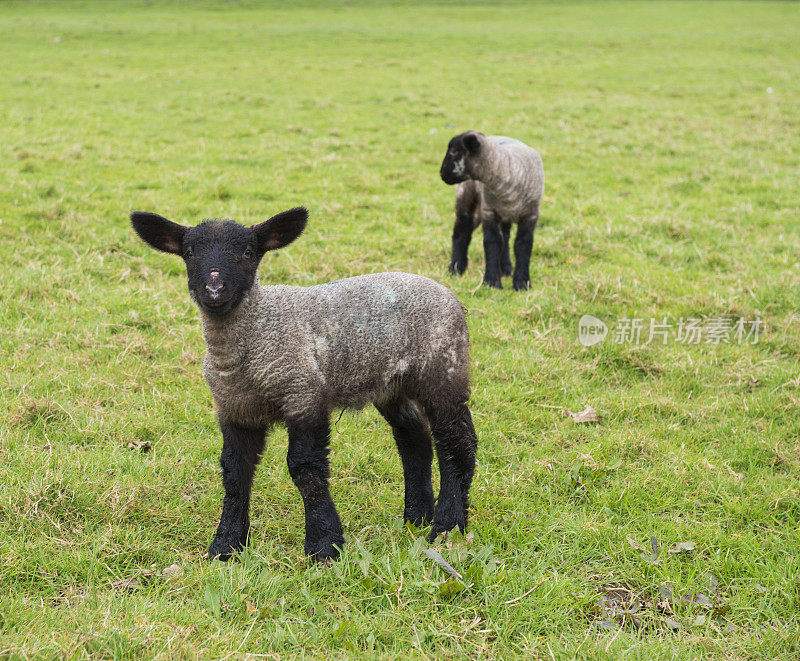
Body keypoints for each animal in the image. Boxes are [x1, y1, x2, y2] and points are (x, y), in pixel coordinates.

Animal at [130, 206, 478, 564]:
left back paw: (448, 525)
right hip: (390, 384)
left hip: (444, 368)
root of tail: (449, 295)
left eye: (248, 252)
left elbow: (305, 468)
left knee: (456, 443)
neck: (254, 335)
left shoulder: (303, 393)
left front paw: (324, 545)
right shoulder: (234, 408)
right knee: (415, 440)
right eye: (189, 253)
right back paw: (417, 517)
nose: (214, 290)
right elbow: (234, 472)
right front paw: (226, 546)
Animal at [438, 130, 544, 290]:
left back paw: (505, 268)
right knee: (461, 232)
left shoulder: (530, 215)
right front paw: (492, 282)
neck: (508, 167)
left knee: (505, 237)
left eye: (454, 152)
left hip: (505, 214)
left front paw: (522, 284)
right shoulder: (489, 211)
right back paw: (456, 268)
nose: (442, 174)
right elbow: (492, 242)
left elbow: (523, 244)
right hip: (467, 197)